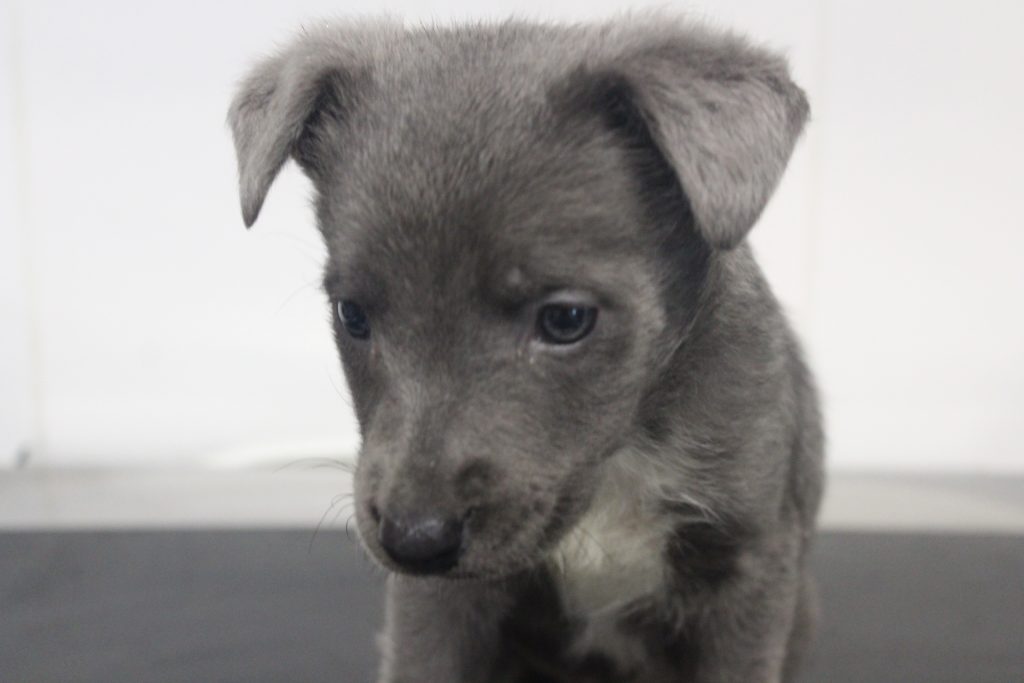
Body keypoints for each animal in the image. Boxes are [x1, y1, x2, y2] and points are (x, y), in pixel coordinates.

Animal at [229, 15, 824, 682]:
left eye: (566, 319)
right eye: (351, 315)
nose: (415, 537)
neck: (619, 464)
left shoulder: (747, 568)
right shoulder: (437, 600)